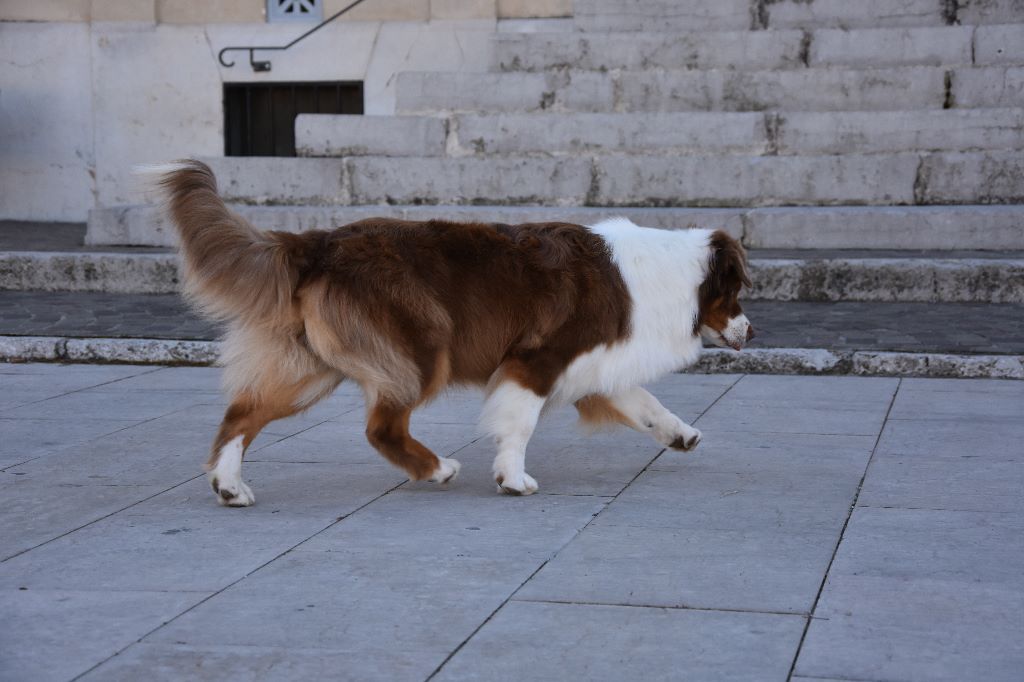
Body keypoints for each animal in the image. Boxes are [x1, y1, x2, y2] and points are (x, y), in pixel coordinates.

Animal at [155, 159, 757, 503]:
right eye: (737, 290)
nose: (752, 331)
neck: (670, 275)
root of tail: (319, 244)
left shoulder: (593, 365)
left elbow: (646, 404)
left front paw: (681, 434)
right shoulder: (537, 359)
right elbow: (519, 423)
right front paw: (512, 479)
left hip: (313, 367)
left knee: (242, 414)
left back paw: (229, 485)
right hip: (422, 350)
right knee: (380, 427)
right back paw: (436, 468)